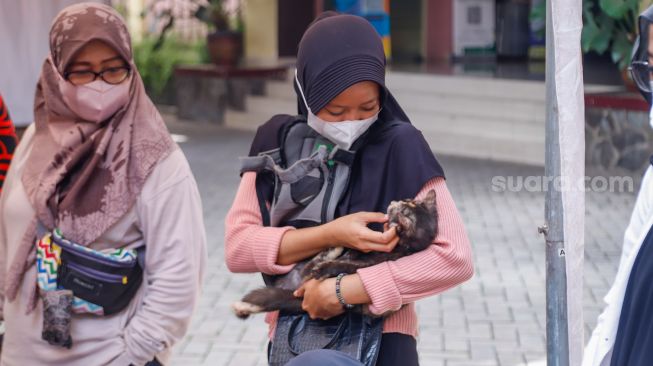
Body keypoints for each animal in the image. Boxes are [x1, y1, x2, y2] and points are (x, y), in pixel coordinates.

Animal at [230, 190, 438, 318]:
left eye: (401, 209)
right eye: (408, 201)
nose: (395, 201)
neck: (400, 248)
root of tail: (294, 290)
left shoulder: (368, 264)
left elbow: (343, 265)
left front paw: (326, 268)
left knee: (305, 273)